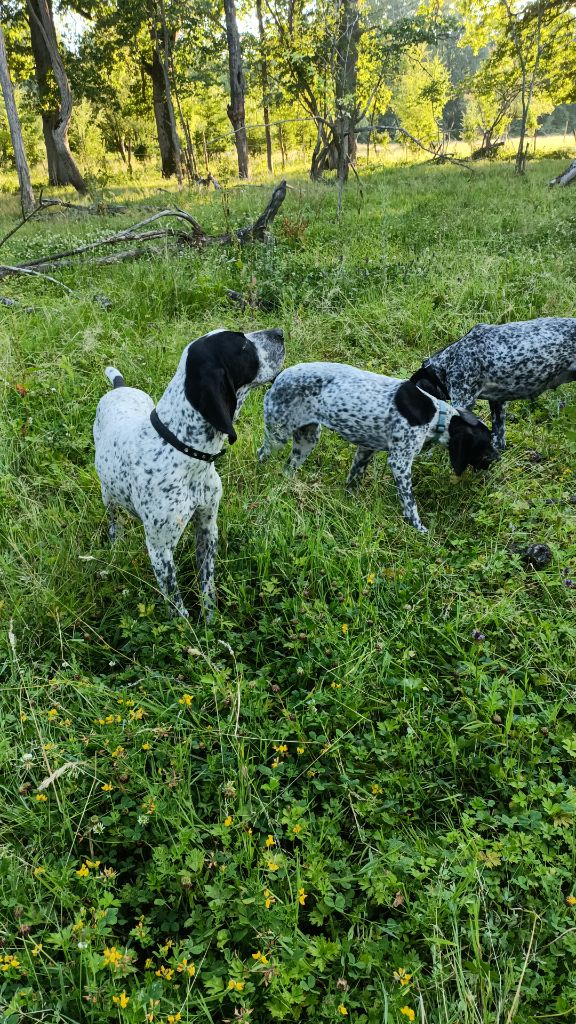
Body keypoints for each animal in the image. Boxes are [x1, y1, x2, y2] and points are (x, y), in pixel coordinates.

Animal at [94, 327, 285, 617]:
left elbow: (208, 586)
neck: (182, 450)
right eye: (242, 346)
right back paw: (116, 541)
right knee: (114, 518)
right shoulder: (160, 550)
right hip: (107, 495)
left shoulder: (207, 527)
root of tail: (119, 387)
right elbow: (177, 606)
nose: (280, 332)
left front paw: (211, 621)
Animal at [257, 361, 498, 533]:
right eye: (485, 444)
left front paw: (350, 504)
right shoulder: (400, 463)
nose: (498, 458)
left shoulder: (365, 450)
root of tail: (278, 377)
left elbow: (353, 481)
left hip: (307, 440)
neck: (435, 416)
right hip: (278, 436)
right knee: (262, 455)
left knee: (287, 469)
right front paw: (419, 529)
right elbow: (410, 504)